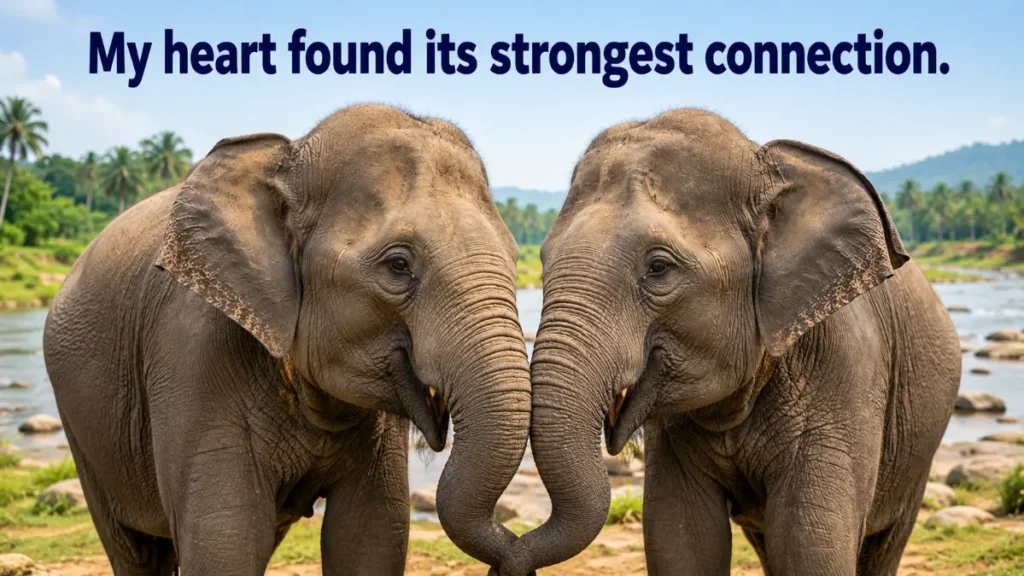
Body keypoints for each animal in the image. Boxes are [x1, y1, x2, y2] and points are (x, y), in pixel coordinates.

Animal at [43, 104, 530, 575]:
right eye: (398, 265)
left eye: (514, 255)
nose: (508, 560)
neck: (288, 158)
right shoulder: (191, 351)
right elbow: (225, 542)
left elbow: (370, 536)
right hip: (83, 427)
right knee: (136, 551)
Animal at [499, 109, 961, 575]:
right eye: (543, 259)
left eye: (658, 267)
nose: (509, 560)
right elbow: (682, 542)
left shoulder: (844, 369)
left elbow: (808, 547)